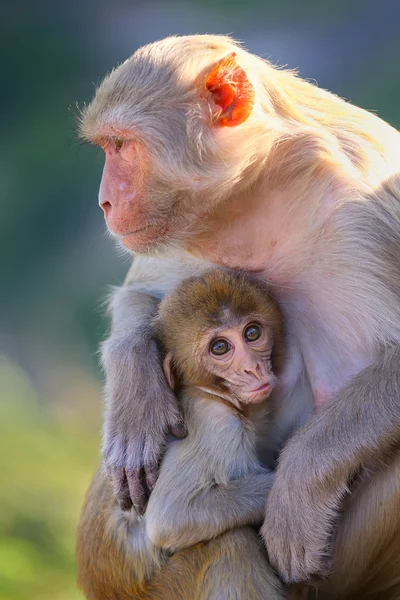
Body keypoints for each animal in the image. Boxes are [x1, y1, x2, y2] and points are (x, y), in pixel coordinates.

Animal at [76, 272, 286, 600]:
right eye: (220, 348)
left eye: (252, 333)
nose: (253, 369)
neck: (210, 392)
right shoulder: (215, 426)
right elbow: (170, 518)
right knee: (232, 542)